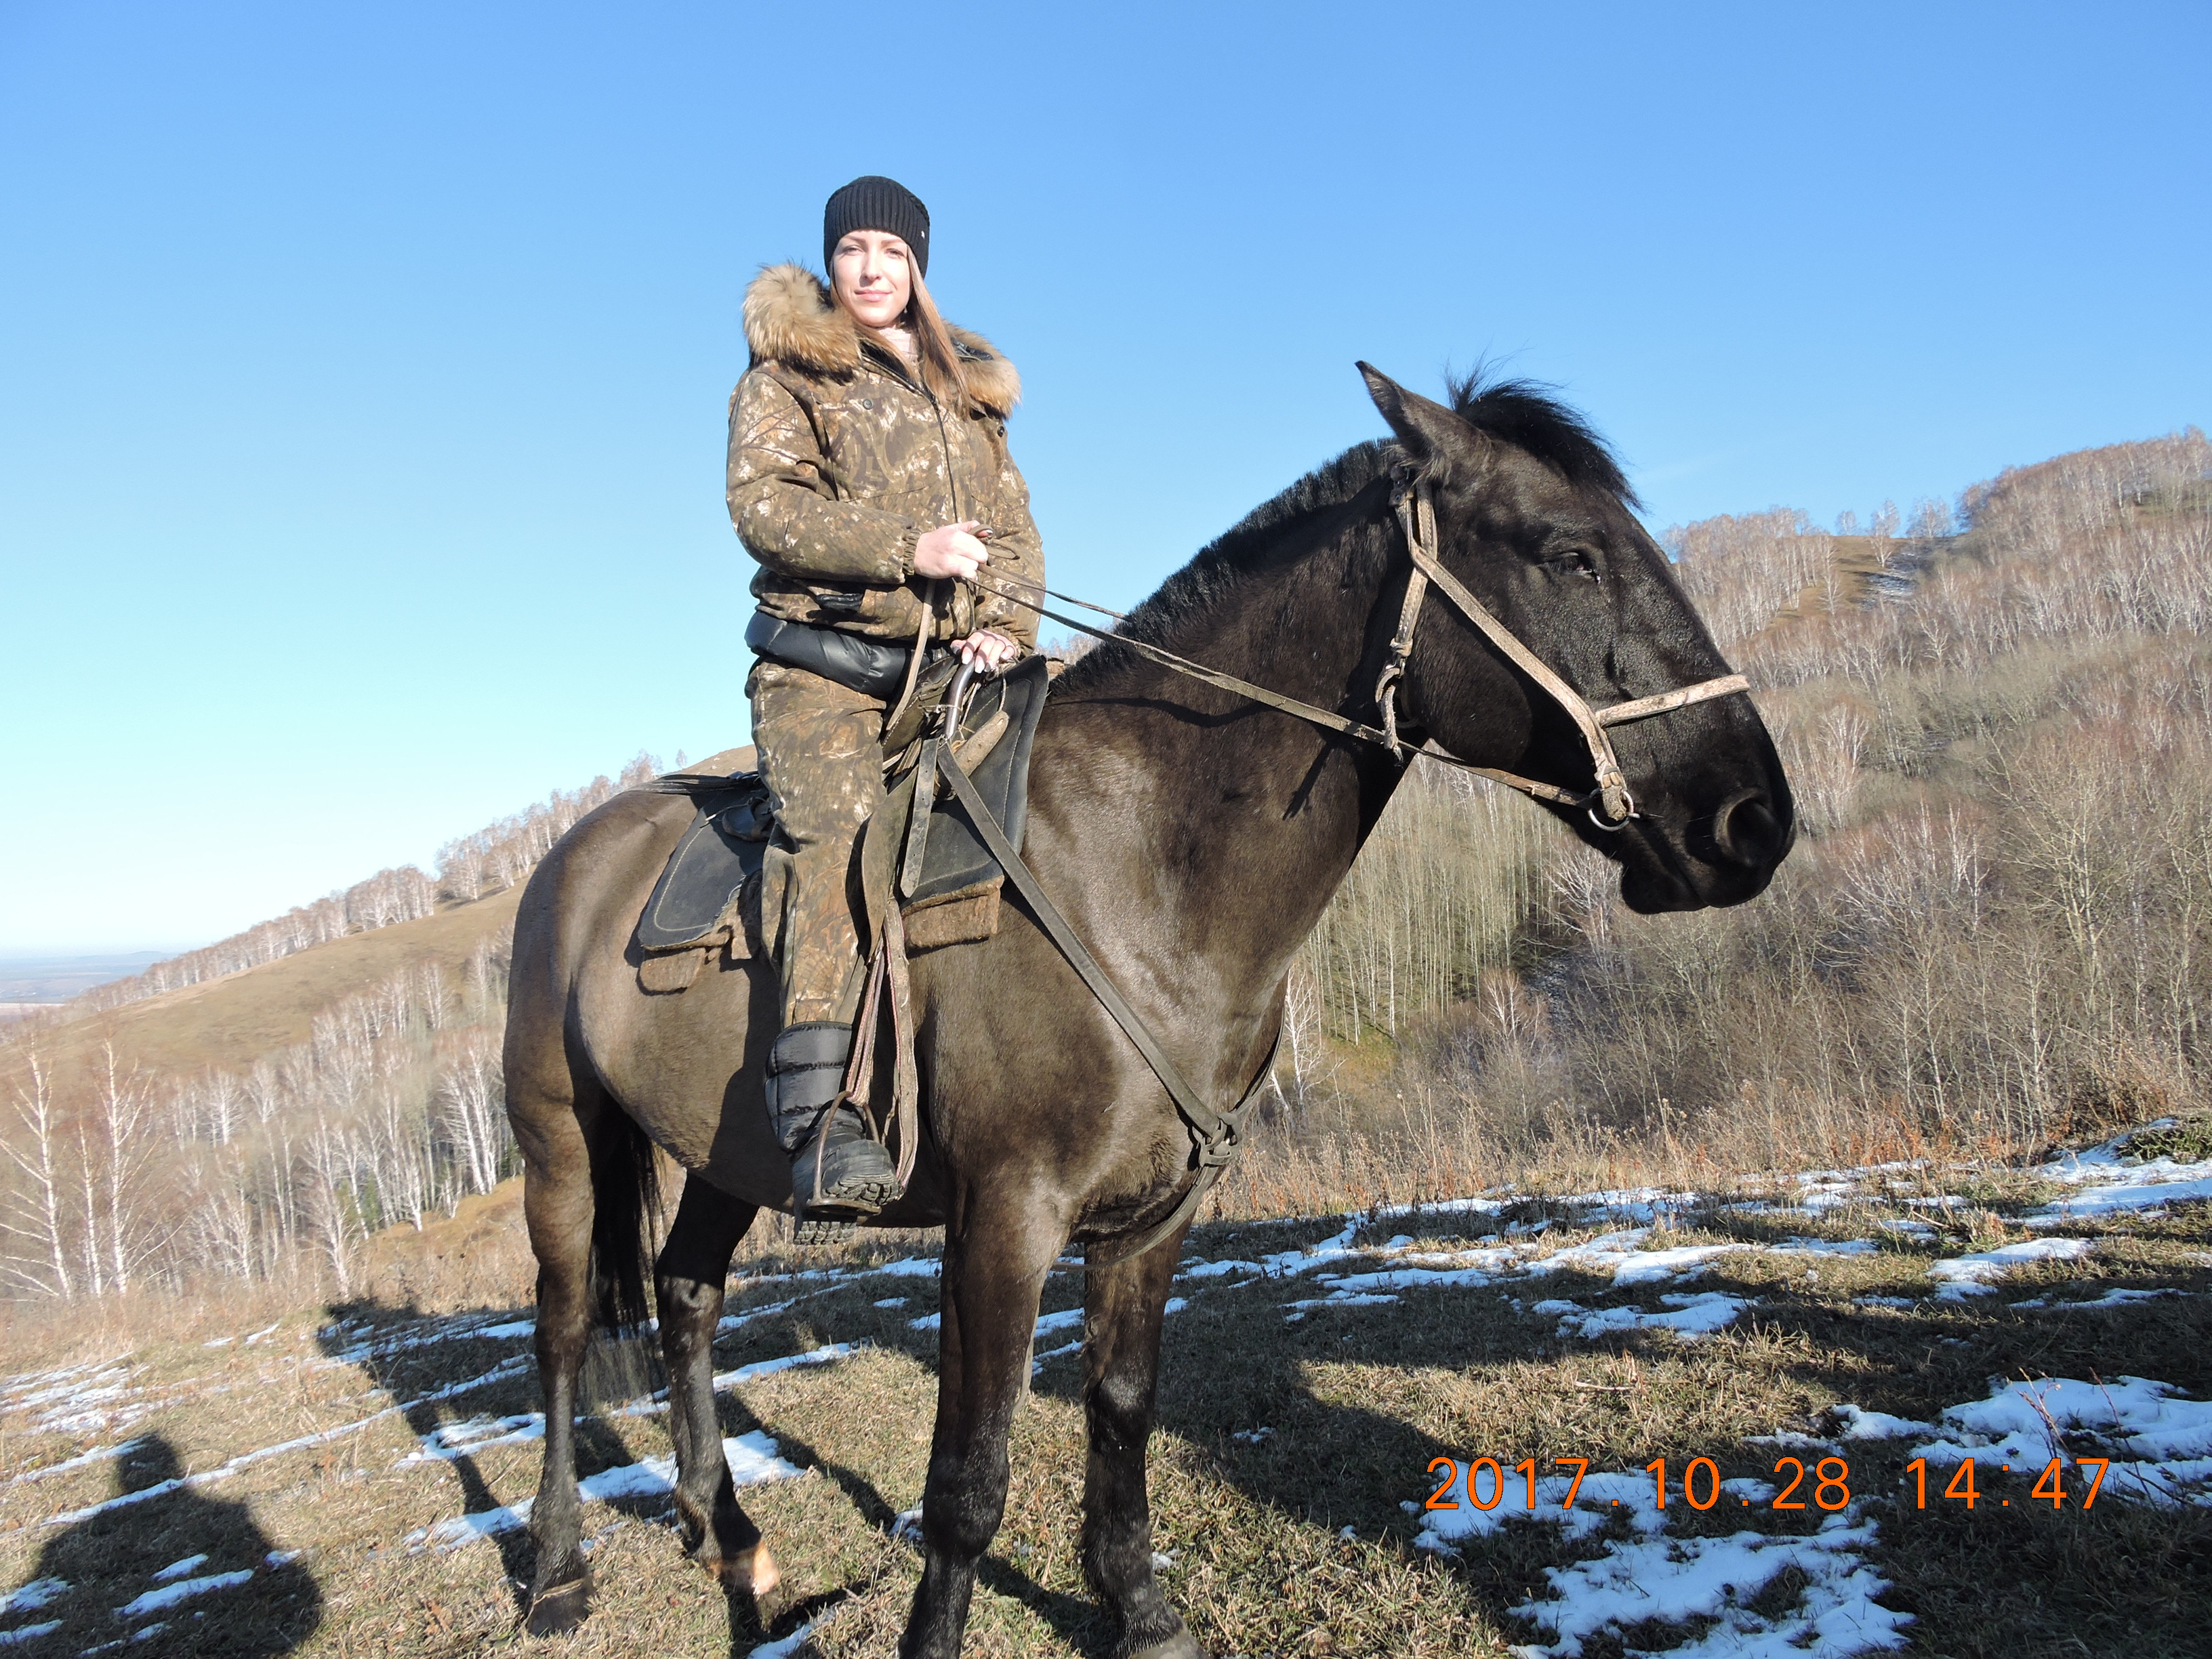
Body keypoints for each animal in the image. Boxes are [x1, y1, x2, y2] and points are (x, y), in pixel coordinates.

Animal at [501, 369, 1796, 1654]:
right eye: (1571, 554)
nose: (1753, 819)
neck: (1134, 864)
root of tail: (570, 860)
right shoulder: (1002, 1222)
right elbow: (966, 1481)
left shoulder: (1155, 1215)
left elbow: (1120, 1411)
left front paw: (1136, 1607)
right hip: (559, 1143)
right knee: (562, 1332)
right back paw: (559, 1567)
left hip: (728, 1152)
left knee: (686, 1296)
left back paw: (730, 1539)